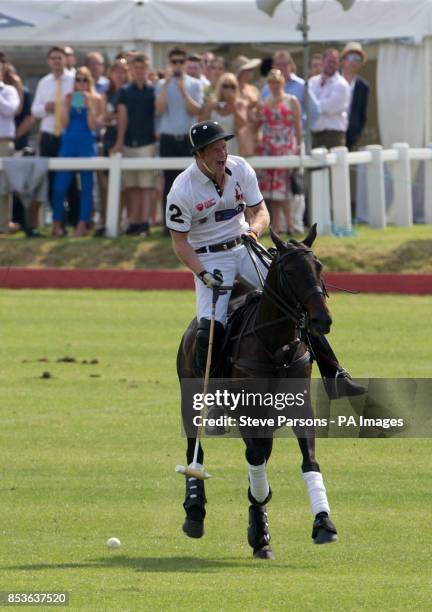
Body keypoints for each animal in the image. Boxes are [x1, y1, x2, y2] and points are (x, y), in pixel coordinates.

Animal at [176, 226, 338, 560]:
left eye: (319, 266)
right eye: (289, 272)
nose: (322, 320)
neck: (277, 345)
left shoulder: (299, 411)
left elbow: (309, 461)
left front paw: (323, 523)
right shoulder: (247, 413)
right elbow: (255, 457)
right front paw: (259, 502)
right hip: (190, 401)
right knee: (194, 450)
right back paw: (195, 511)